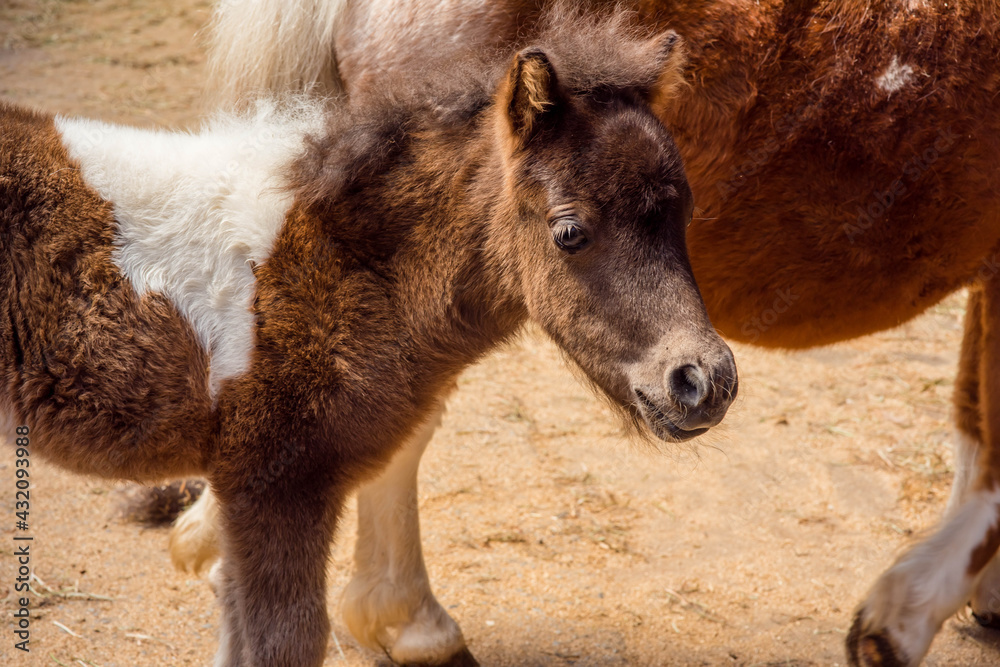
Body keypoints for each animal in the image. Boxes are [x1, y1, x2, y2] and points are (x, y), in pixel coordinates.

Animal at [0, 13, 738, 667]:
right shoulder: (274, 484)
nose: (704, 380)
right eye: (569, 230)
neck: (332, 259)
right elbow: (284, 643)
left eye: (687, 212)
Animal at [171, 0, 1000, 665]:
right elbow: (988, 451)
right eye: (569, 231)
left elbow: (971, 422)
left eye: (686, 214)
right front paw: (901, 616)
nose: (706, 382)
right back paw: (409, 621)